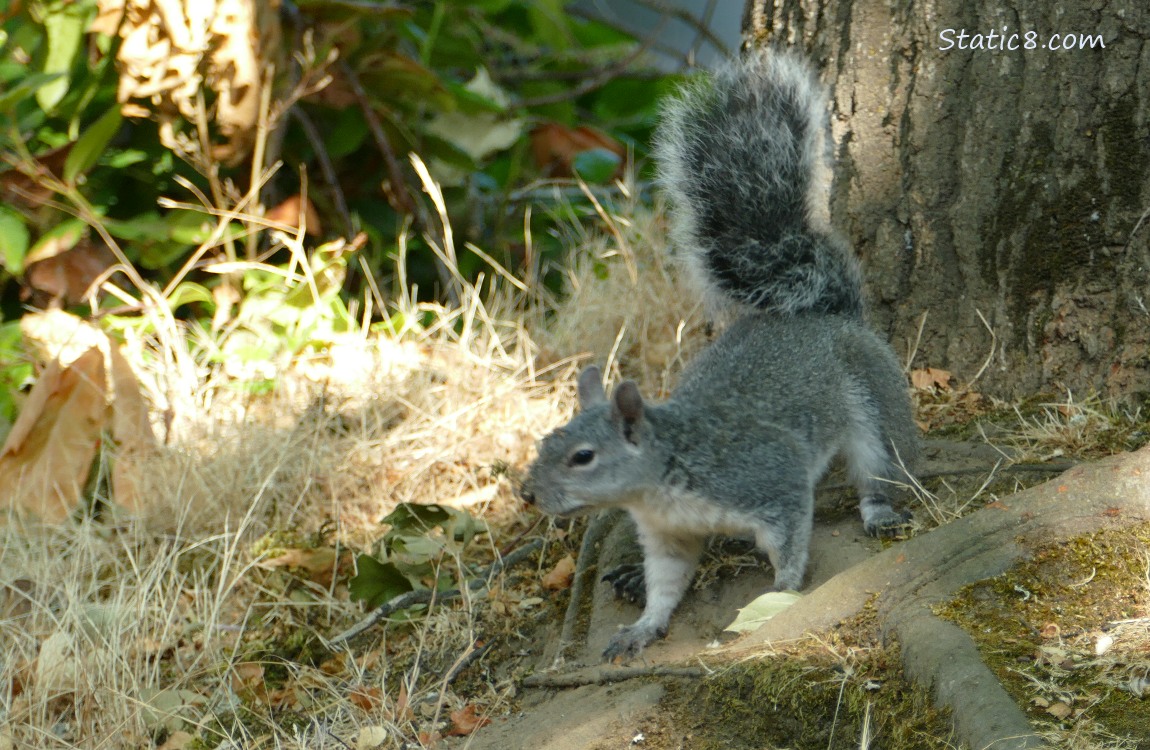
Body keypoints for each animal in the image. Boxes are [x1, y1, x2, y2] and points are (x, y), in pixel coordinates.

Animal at [522, 49, 915, 662]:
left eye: (583, 457)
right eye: (546, 442)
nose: (528, 494)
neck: (661, 485)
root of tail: (828, 316)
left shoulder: (770, 478)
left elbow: (790, 545)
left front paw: (779, 598)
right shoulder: (668, 536)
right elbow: (666, 584)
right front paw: (642, 627)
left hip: (874, 404)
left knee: (880, 466)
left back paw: (880, 512)